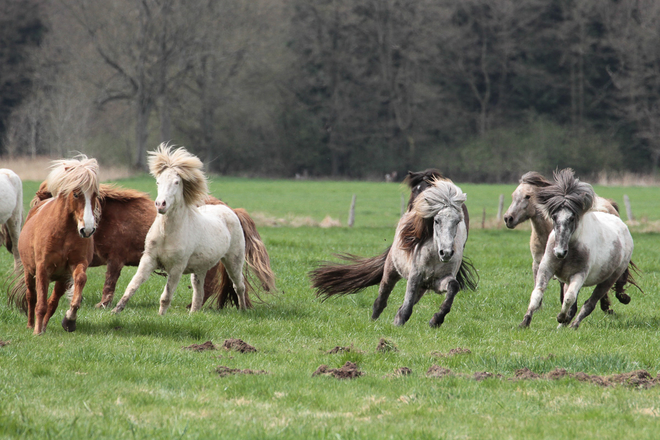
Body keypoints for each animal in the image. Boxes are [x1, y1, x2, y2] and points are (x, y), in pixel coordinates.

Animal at [16, 155, 100, 334]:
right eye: (76, 194)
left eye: (95, 194)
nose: (88, 230)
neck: (64, 233)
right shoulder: (42, 269)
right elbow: (40, 303)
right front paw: (37, 332)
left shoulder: (76, 265)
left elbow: (80, 280)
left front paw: (70, 318)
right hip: (29, 272)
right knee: (31, 297)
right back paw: (31, 325)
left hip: (62, 279)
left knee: (53, 302)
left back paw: (46, 325)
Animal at [306, 171, 476, 326]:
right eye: (437, 221)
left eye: (457, 221)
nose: (446, 253)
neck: (434, 254)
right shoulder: (415, 276)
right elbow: (406, 306)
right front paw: (399, 324)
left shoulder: (440, 280)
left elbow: (453, 287)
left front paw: (436, 320)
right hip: (391, 270)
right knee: (381, 299)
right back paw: (374, 321)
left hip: (423, 285)